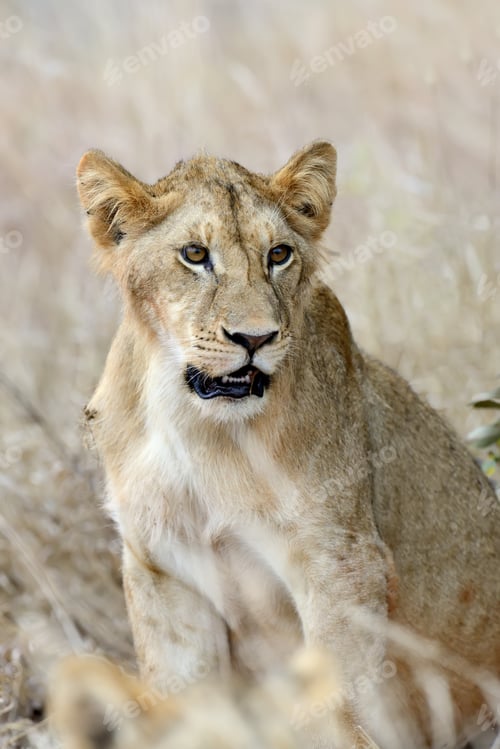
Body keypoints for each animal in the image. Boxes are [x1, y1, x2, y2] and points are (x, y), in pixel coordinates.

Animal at [75, 142, 500, 748]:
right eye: (194, 254)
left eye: (278, 254)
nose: (254, 339)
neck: (199, 427)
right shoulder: (162, 567)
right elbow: (188, 704)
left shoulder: (342, 562)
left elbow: (338, 707)